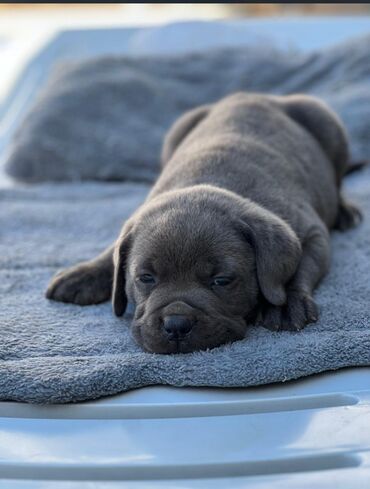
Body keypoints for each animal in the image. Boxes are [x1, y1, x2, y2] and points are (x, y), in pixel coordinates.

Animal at [46, 92, 362, 350]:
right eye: (145, 278)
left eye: (221, 281)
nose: (176, 325)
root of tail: (253, 94)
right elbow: (114, 252)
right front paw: (84, 273)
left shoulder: (312, 231)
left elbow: (303, 266)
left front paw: (285, 304)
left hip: (326, 124)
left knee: (338, 179)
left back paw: (345, 211)